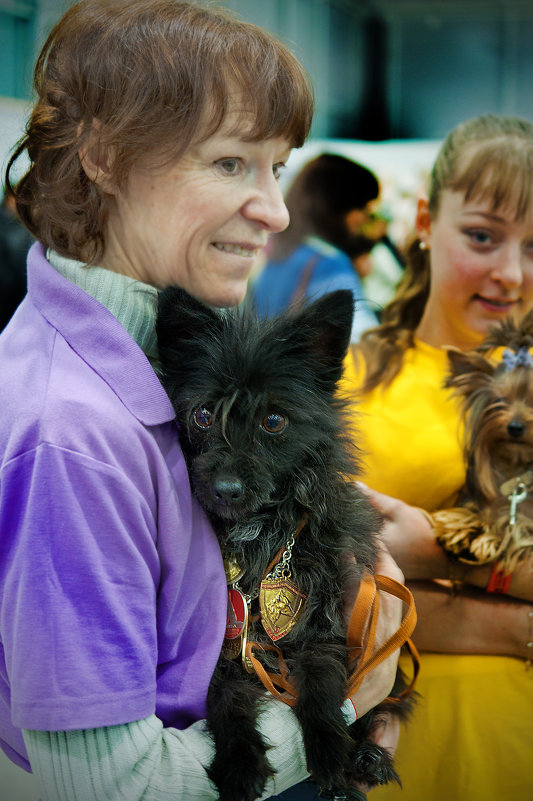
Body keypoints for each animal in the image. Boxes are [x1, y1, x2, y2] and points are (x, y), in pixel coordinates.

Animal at [155, 288, 412, 800]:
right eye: (203, 415)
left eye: (274, 421)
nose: (227, 488)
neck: (256, 530)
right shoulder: (223, 648)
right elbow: (225, 697)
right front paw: (240, 762)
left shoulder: (324, 622)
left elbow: (323, 681)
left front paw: (330, 748)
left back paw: (367, 758)